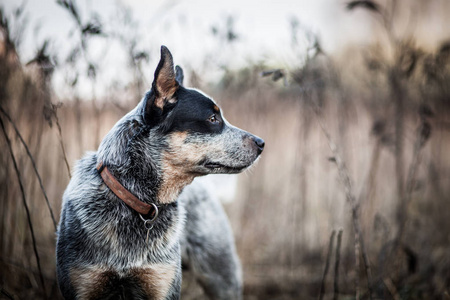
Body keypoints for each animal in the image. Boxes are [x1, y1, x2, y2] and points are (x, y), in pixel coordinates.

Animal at [55, 45, 264, 298]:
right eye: (213, 118)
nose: (261, 143)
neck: (135, 199)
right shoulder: (83, 283)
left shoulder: (161, 283)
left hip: (221, 276)